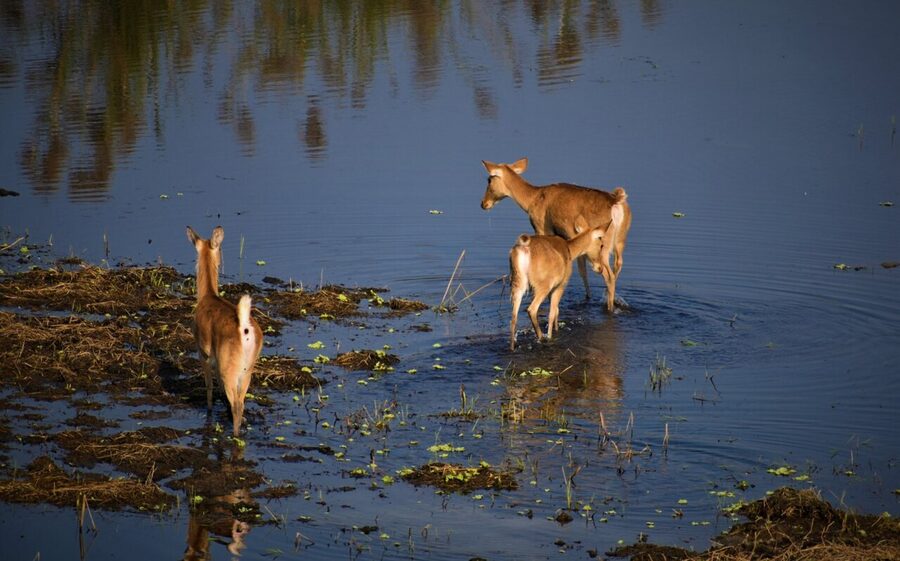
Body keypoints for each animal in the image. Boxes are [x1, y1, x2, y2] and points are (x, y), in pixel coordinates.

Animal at [187, 226, 263, 436]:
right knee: (241, 402)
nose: (222, 261)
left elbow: (209, 386)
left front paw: (209, 410)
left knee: (237, 404)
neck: (207, 296)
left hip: (229, 367)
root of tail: (244, 329)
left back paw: (234, 435)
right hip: (247, 368)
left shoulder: (202, 352)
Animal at [481, 158, 631, 313]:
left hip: (604, 246)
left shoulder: (542, 228)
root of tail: (617, 201)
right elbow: (582, 270)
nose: (483, 203)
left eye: (489, 180)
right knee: (617, 266)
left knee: (609, 276)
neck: (532, 199)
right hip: (620, 241)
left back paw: (610, 308)